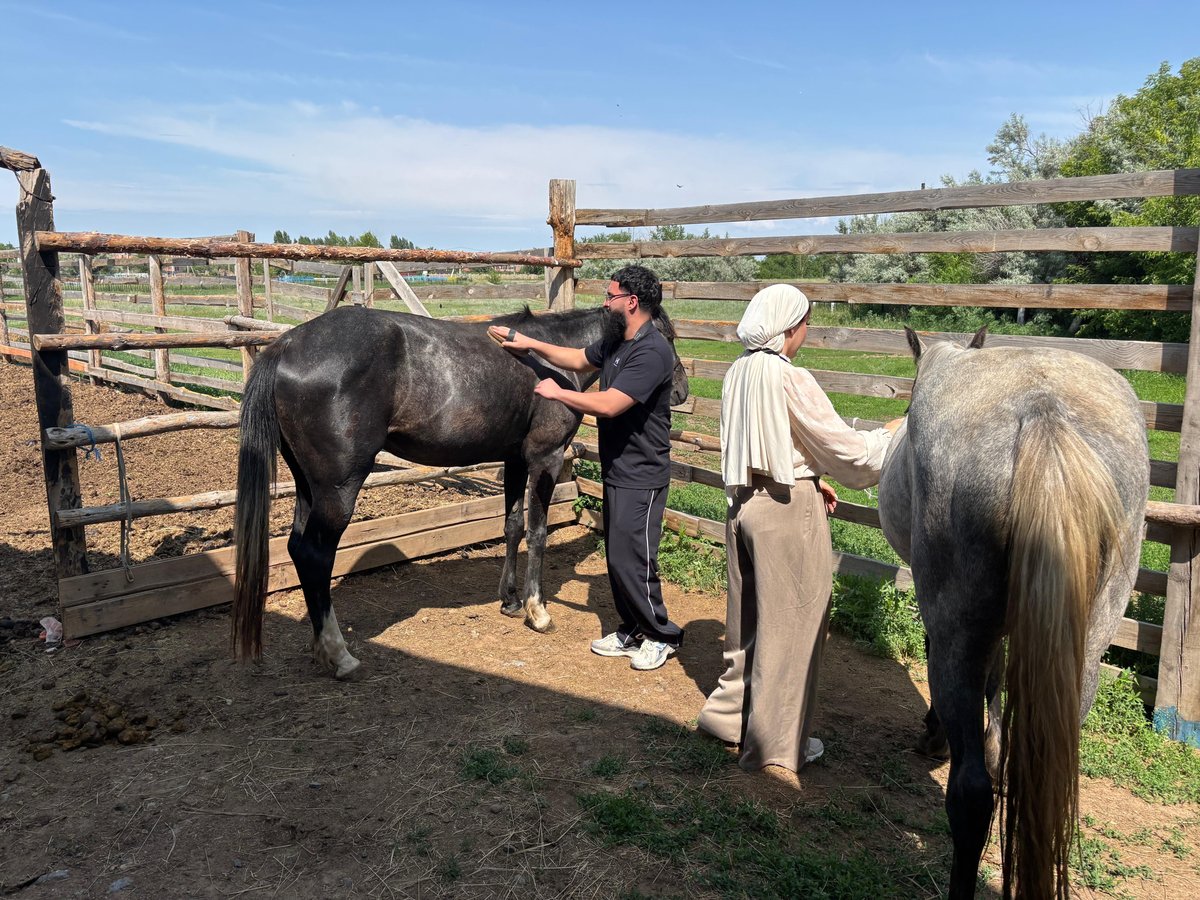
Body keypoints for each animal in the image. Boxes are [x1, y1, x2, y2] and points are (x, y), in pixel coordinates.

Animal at [231, 304, 689, 678]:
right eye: (666, 336)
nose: (681, 391)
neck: (552, 358)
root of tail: (286, 344)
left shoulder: (514, 460)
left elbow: (512, 527)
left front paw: (509, 601)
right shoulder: (545, 459)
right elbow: (538, 533)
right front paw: (537, 611)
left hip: (309, 486)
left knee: (297, 548)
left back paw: (318, 648)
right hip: (338, 490)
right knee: (315, 554)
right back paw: (339, 654)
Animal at [877, 327, 1149, 900]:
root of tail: (1043, 412)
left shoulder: (949, 623)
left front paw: (936, 734)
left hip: (959, 634)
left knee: (970, 796)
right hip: (1083, 656)